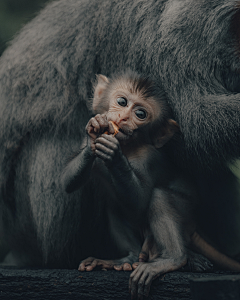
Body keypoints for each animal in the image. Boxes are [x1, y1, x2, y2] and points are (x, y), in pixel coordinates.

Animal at [60, 71, 240, 298]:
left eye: (140, 114)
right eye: (121, 102)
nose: (123, 118)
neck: (129, 146)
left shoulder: (147, 159)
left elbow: (139, 203)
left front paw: (114, 155)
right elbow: (67, 180)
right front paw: (94, 131)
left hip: (187, 210)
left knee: (158, 197)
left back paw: (174, 259)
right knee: (113, 205)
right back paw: (127, 259)